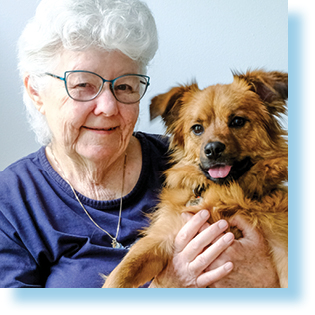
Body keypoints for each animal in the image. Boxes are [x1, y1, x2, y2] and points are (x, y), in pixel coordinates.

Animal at [103, 69, 288, 288]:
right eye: (197, 128)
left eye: (237, 121)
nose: (213, 149)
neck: (224, 193)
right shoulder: (163, 236)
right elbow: (123, 271)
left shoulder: (281, 243)